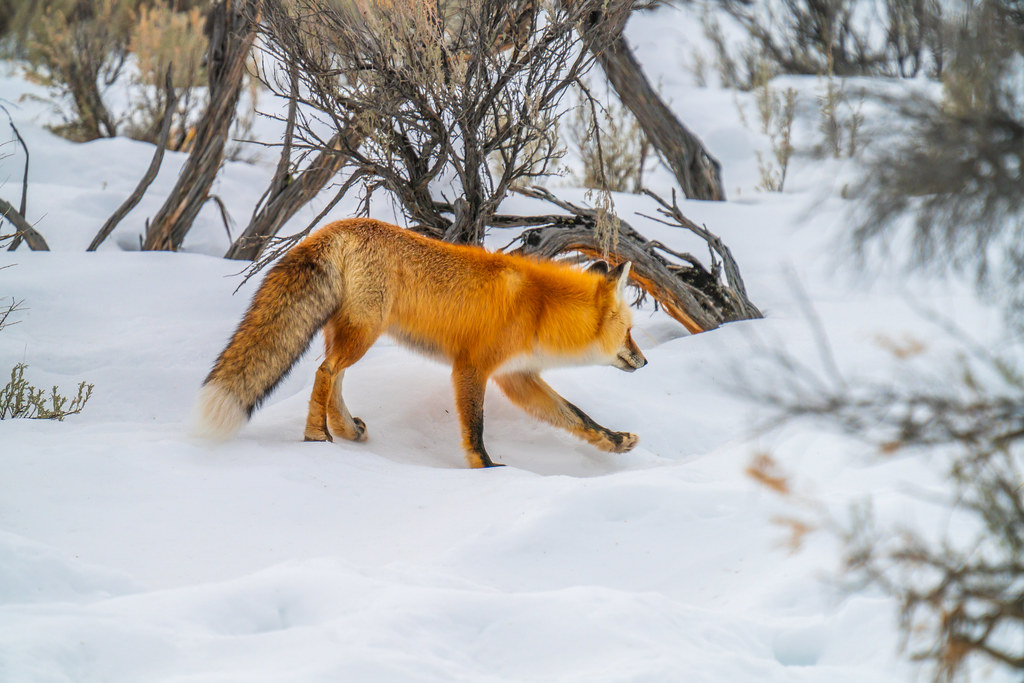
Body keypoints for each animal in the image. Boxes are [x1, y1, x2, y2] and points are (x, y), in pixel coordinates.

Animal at [194, 218, 647, 468]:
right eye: (629, 331)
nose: (644, 362)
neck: (539, 308)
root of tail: (333, 227)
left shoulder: (518, 377)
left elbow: (577, 417)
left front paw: (615, 441)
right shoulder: (472, 367)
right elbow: (475, 429)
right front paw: (486, 469)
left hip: (351, 333)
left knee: (333, 376)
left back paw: (344, 429)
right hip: (364, 333)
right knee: (325, 373)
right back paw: (316, 436)